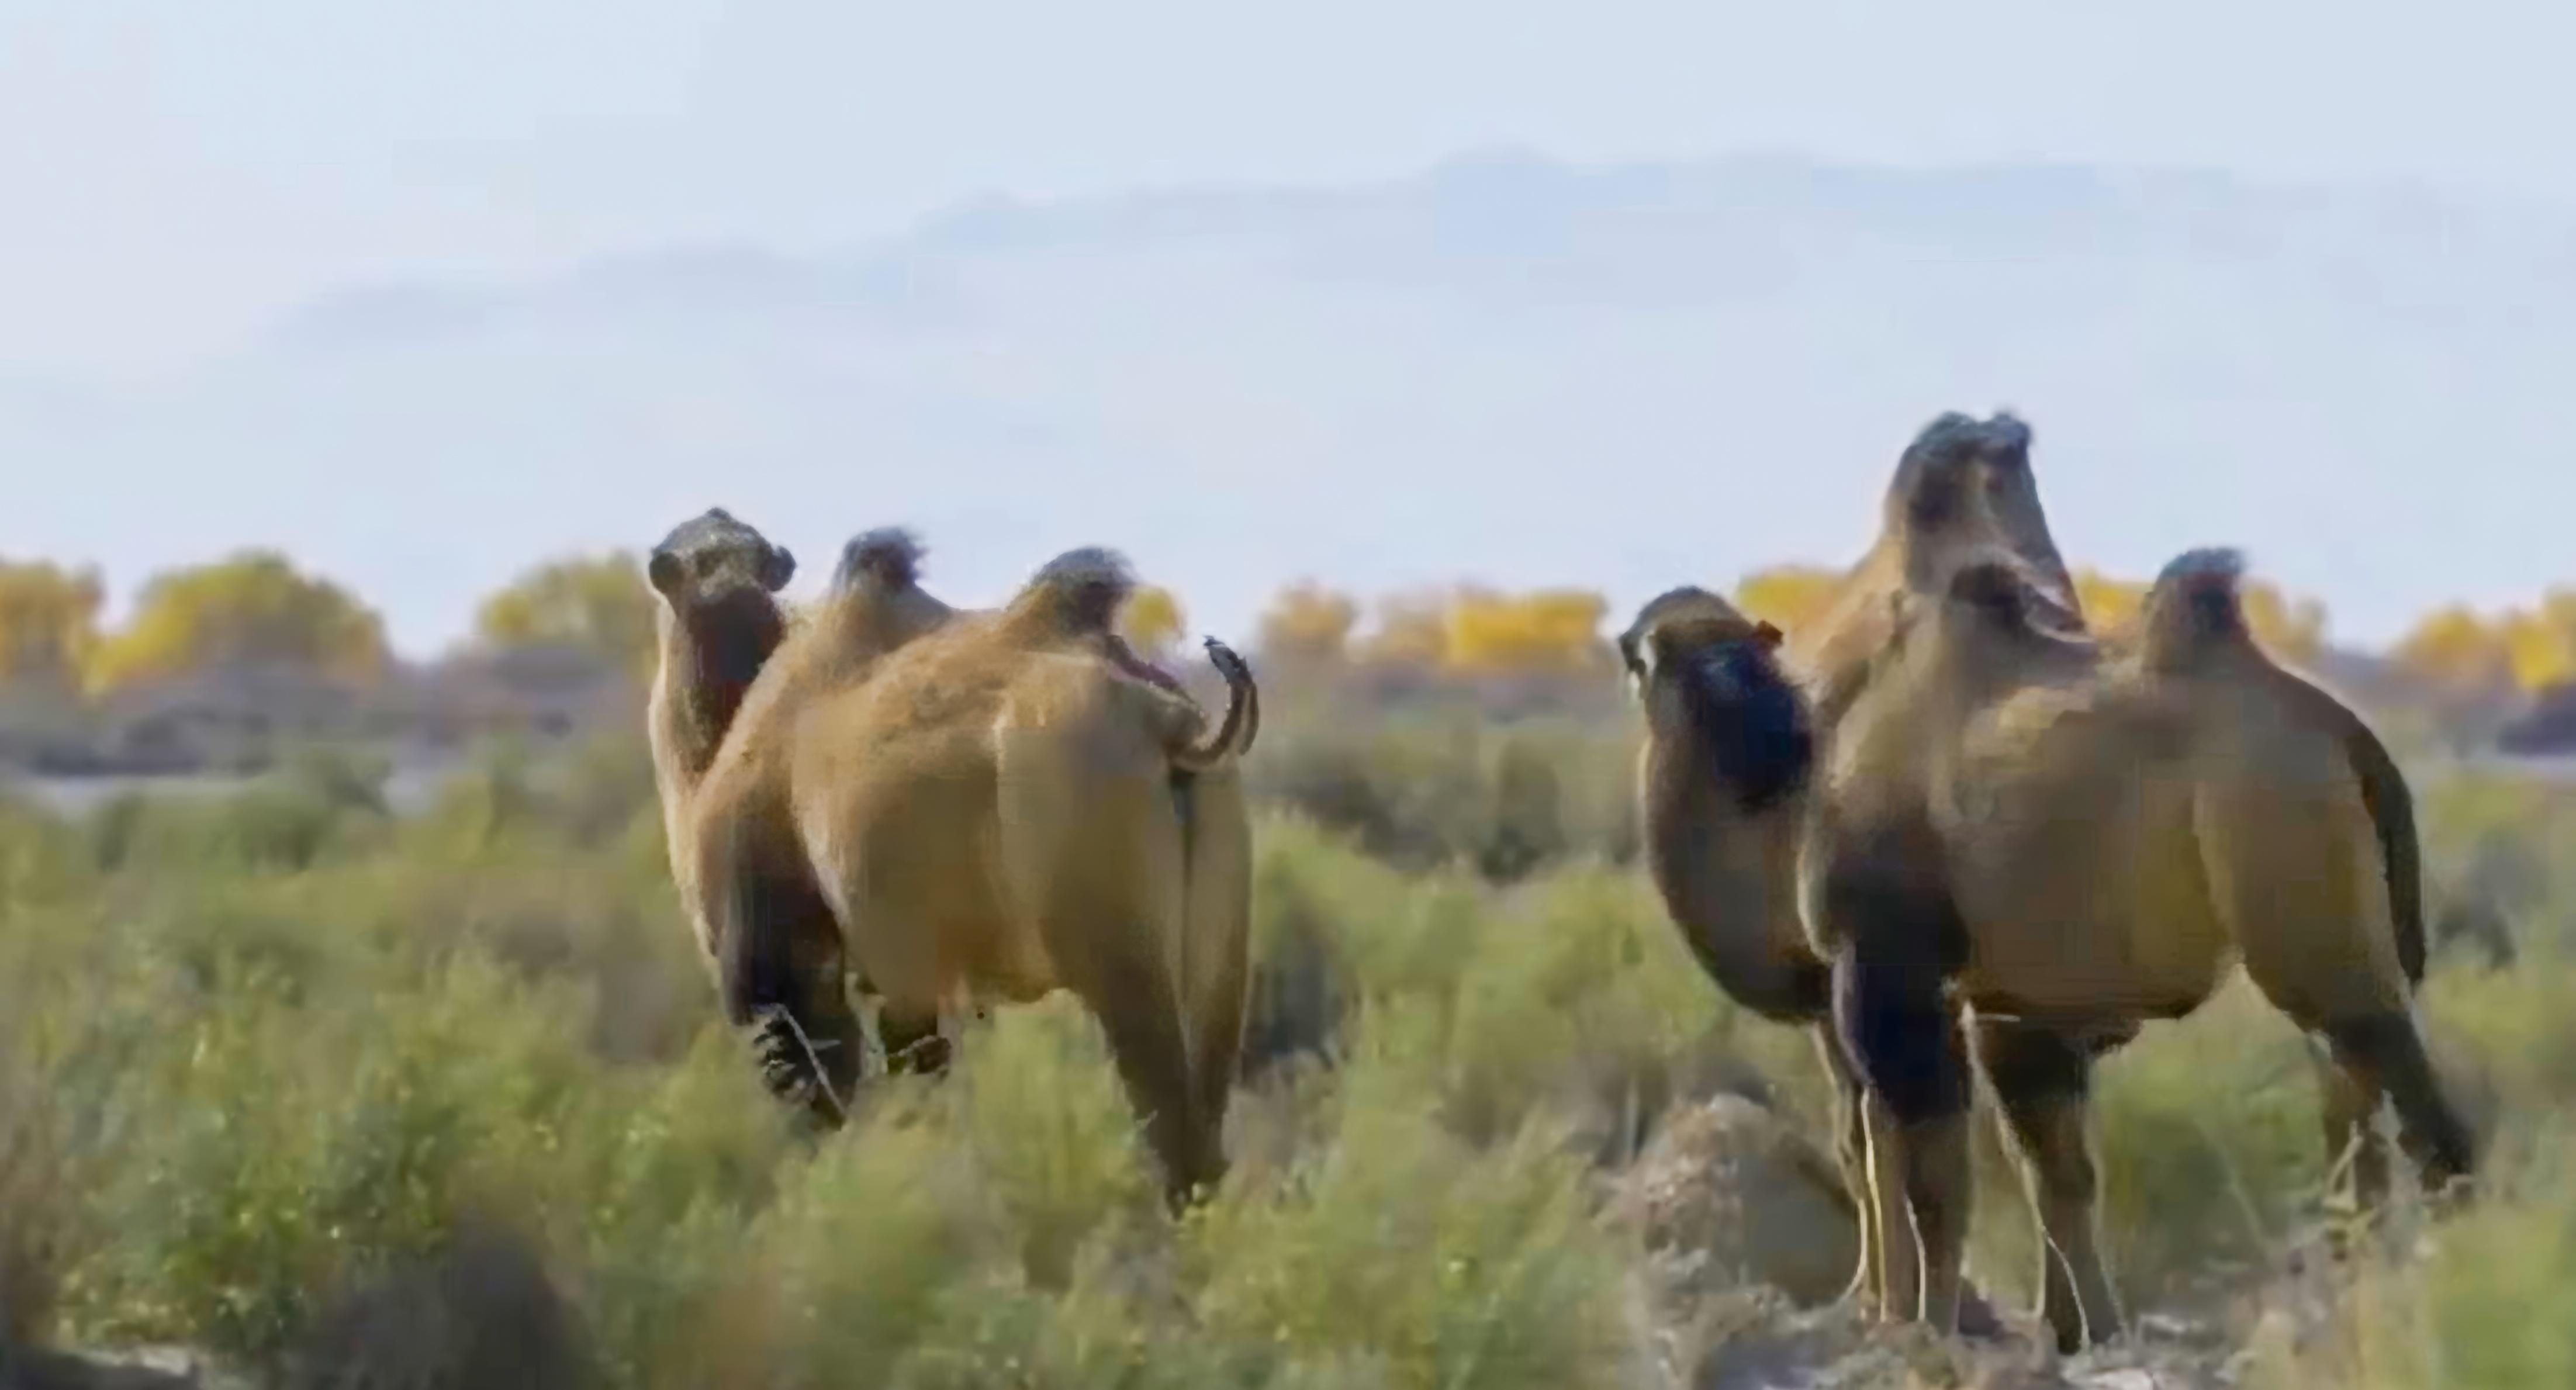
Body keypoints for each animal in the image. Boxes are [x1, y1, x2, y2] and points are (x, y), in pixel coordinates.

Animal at [690, 548, 1262, 1199]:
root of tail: (1170, 725)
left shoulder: (784, 982)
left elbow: (823, 1103)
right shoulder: (907, 988)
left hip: (1115, 943)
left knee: (1172, 1131)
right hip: (1220, 944)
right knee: (1207, 1125)